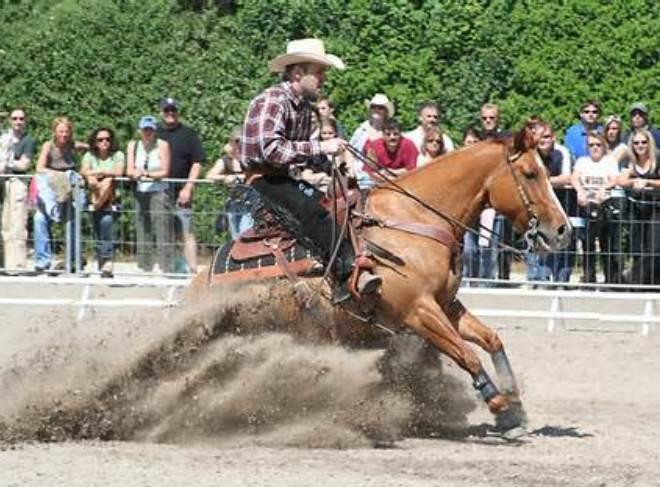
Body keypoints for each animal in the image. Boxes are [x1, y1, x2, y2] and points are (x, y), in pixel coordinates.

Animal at [192, 126, 572, 437]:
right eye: (530, 173)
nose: (562, 231)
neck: (415, 218)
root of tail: (198, 284)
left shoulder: (447, 305)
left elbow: (491, 340)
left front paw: (514, 405)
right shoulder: (418, 312)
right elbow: (467, 355)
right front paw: (499, 406)